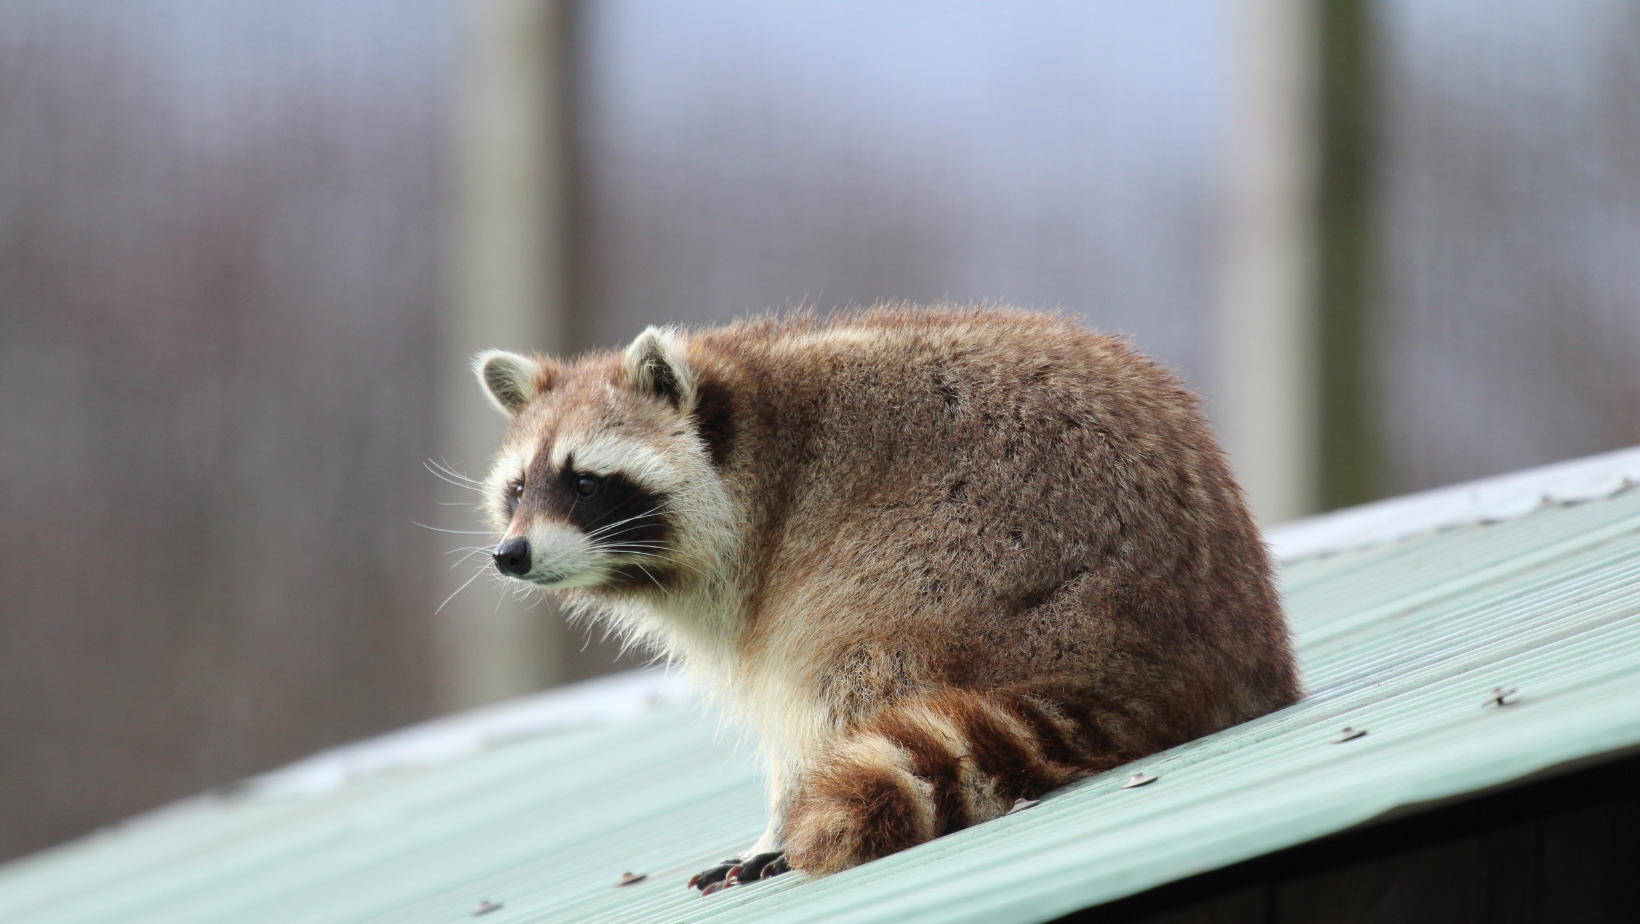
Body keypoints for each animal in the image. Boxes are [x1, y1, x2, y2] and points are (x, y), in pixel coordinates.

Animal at [472, 306, 1292, 892]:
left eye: (584, 483)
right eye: (518, 488)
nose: (511, 555)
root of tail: (1164, 666)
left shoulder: (777, 553)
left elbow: (801, 694)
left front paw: (778, 818)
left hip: (968, 555)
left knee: (851, 659)